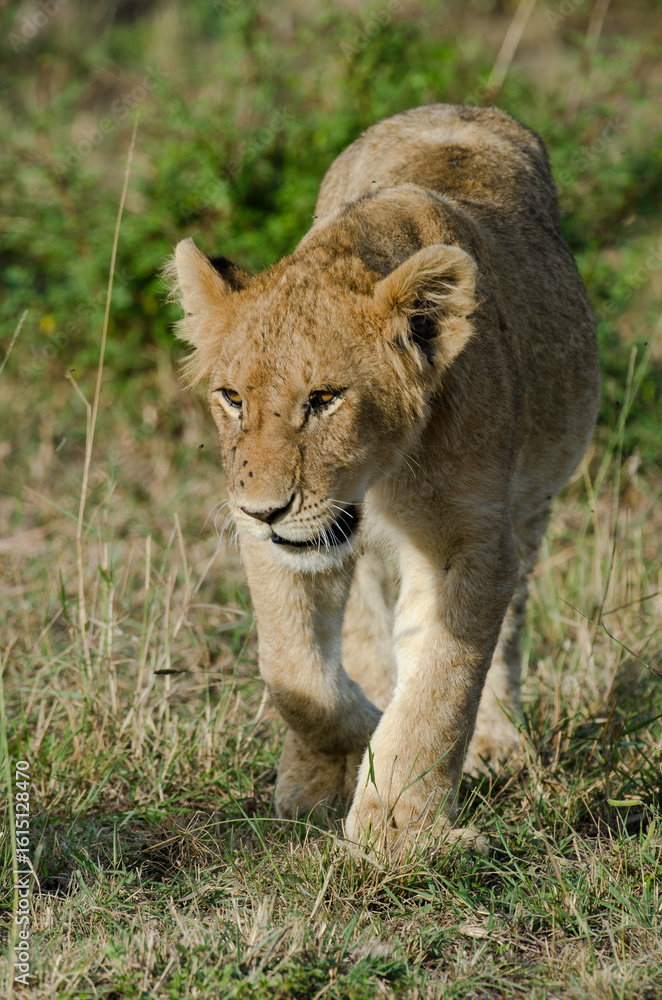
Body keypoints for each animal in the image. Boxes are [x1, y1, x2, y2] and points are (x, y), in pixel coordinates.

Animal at [168, 104, 600, 856]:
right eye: (232, 398)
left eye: (325, 399)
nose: (264, 509)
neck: (385, 474)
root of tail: (453, 107)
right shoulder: (277, 546)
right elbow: (293, 670)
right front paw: (339, 760)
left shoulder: (472, 540)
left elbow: (442, 682)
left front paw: (396, 824)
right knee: (363, 629)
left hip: (532, 504)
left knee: (501, 629)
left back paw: (496, 743)